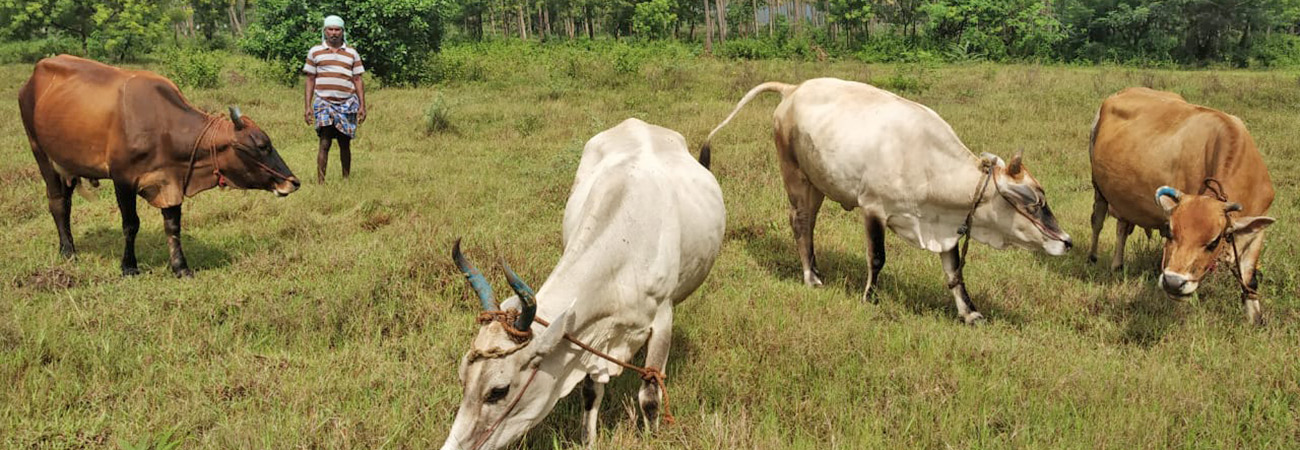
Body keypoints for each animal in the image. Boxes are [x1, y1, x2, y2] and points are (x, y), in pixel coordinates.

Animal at [17, 54, 301, 275]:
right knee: (58, 203)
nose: (293, 182)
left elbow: (173, 226)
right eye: (262, 146)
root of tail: (33, 76)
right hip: (40, 153)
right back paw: (68, 251)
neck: (164, 128)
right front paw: (129, 266)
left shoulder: (170, 181)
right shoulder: (123, 180)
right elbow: (131, 225)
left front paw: (180, 267)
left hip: (67, 165)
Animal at [436, 117, 722, 447]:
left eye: (498, 391)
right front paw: (588, 439)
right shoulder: (591, 335)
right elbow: (590, 392)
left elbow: (650, 396)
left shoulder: (662, 320)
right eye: (462, 377)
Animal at [707, 77, 1071, 323]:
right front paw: (870, 297)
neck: (928, 161)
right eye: (1031, 199)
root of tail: (793, 89)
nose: (1067, 241)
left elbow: (954, 272)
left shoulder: (947, 225)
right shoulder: (873, 208)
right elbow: (877, 258)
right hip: (796, 175)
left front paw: (970, 312)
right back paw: (811, 277)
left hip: (818, 182)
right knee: (800, 222)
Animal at [1086, 87, 1279, 323]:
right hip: (1099, 189)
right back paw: (1093, 257)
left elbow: (1249, 279)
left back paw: (1117, 264)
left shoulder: (1256, 231)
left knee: (1122, 227)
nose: (1174, 282)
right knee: (1097, 221)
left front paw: (1254, 319)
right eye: (1169, 232)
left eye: (1214, 242)